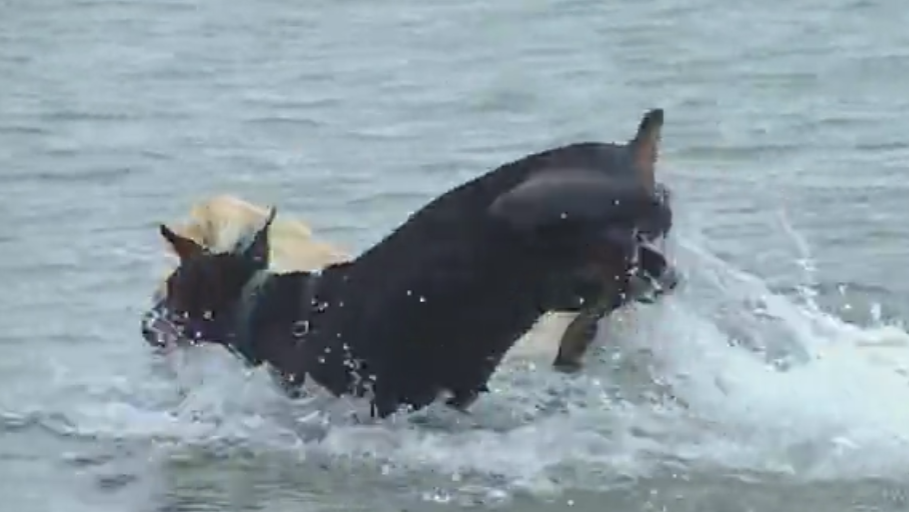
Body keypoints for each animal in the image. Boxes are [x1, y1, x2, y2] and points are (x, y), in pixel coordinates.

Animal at [145, 110, 672, 418]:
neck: (270, 306)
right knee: (648, 275)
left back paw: (575, 340)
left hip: (538, 216)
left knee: (618, 276)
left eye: (169, 289)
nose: (145, 328)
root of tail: (630, 156)